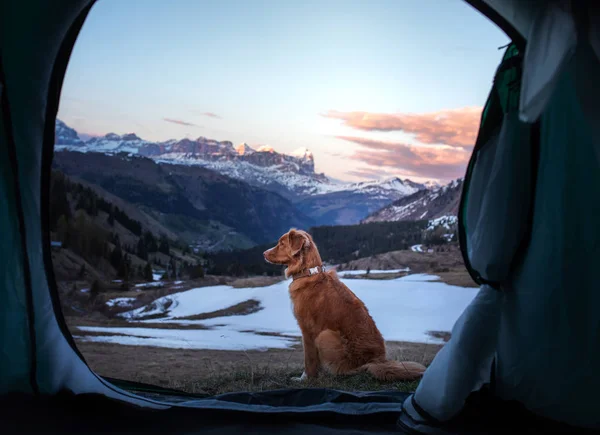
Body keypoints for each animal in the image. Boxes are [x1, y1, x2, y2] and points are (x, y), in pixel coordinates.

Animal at [264, 228, 426, 382]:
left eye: (282, 243)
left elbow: (309, 360)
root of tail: (375, 361)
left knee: (349, 370)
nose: (264, 253)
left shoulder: (308, 330)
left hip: (325, 335)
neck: (309, 273)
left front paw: (305, 378)